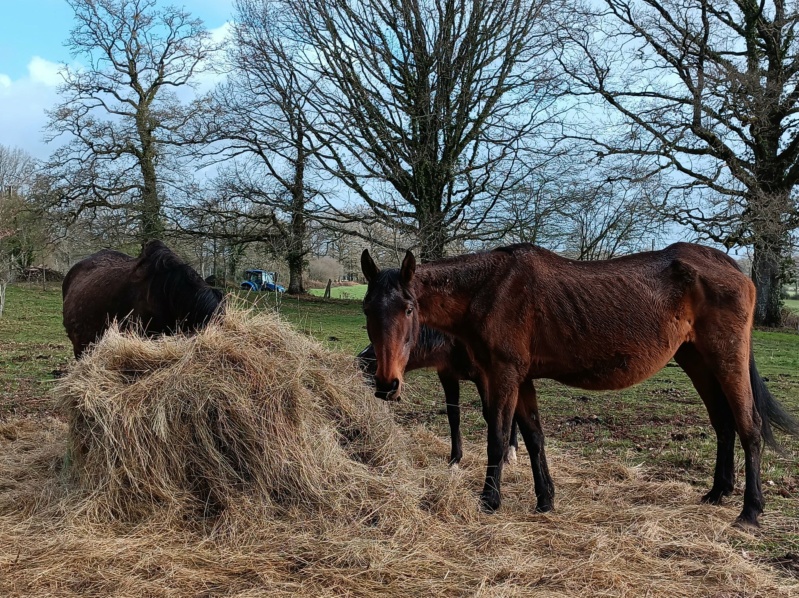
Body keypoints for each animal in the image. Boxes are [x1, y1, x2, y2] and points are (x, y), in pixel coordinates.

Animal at [360, 326, 520, 466]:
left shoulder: (484, 378)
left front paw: (503, 457)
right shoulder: (447, 376)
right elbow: (453, 415)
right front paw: (455, 459)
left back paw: (512, 450)